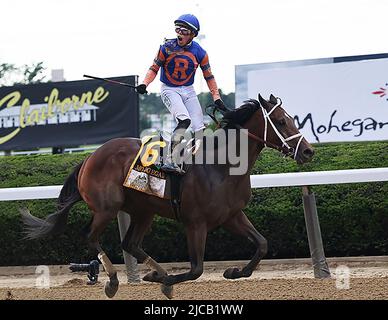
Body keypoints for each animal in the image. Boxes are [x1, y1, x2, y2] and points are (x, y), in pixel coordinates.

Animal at [21, 94, 314, 298]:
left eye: (292, 119)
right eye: (280, 122)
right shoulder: (195, 223)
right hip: (107, 208)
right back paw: (115, 280)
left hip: (143, 211)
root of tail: (89, 157)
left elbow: (262, 244)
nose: (308, 151)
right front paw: (166, 282)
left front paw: (234, 271)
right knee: (91, 237)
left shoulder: (231, 215)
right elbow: (196, 269)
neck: (222, 166)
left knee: (131, 244)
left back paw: (156, 273)